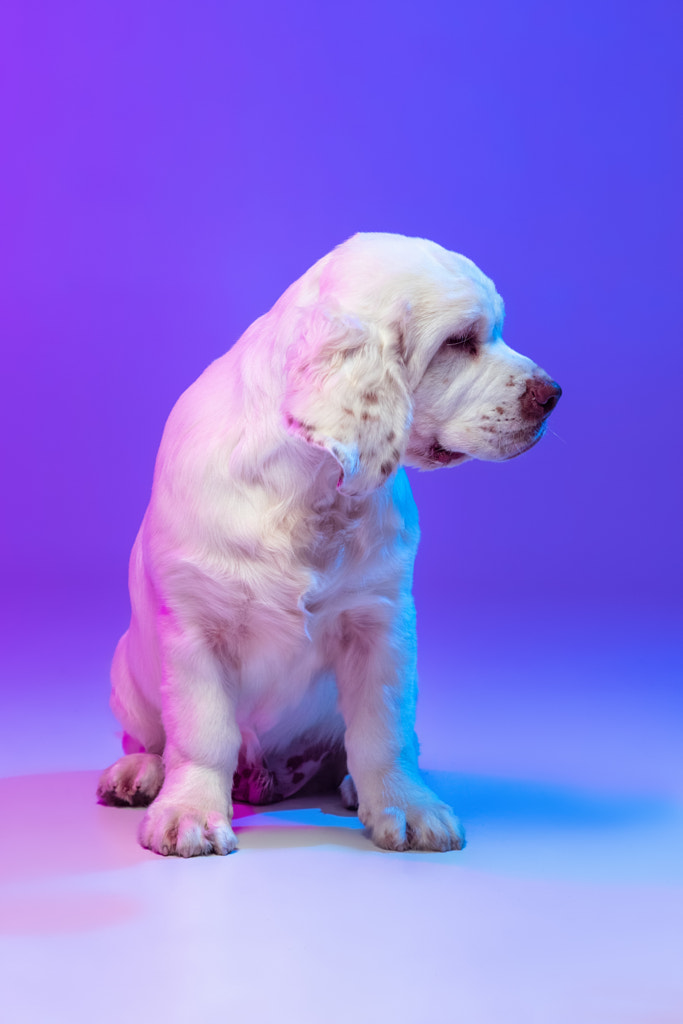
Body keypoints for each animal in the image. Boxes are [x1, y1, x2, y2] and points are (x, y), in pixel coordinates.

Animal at [98, 232, 565, 856]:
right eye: (460, 342)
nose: (554, 394)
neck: (311, 489)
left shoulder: (381, 624)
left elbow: (383, 731)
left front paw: (405, 805)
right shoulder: (195, 629)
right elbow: (202, 731)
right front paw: (188, 812)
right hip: (126, 674)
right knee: (146, 737)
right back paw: (140, 773)